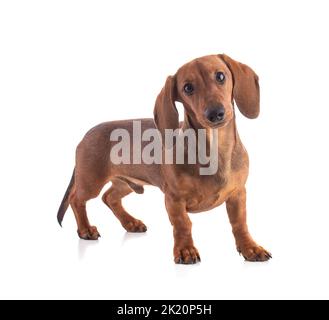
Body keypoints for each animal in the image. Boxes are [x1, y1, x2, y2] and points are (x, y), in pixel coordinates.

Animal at [57, 55, 272, 264]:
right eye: (188, 88)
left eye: (220, 76)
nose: (215, 113)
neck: (216, 150)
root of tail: (86, 134)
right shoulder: (173, 199)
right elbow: (183, 223)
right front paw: (186, 250)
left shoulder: (238, 194)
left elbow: (240, 223)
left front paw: (250, 248)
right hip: (90, 182)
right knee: (76, 199)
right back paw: (85, 229)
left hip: (125, 183)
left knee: (109, 197)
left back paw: (131, 222)